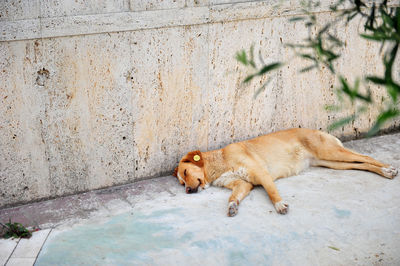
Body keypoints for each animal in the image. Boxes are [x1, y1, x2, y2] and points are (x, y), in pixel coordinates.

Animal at [173, 128, 398, 217]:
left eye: (185, 173)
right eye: (181, 182)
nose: (187, 191)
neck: (218, 162)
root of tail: (319, 130)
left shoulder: (261, 174)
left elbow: (272, 192)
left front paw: (280, 205)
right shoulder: (243, 184)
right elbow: (233, 196)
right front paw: (232, 206)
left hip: (331, 152)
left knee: (366, 157)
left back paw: (388, 168)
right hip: (333, 163)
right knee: (361, 164)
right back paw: (384, 171)